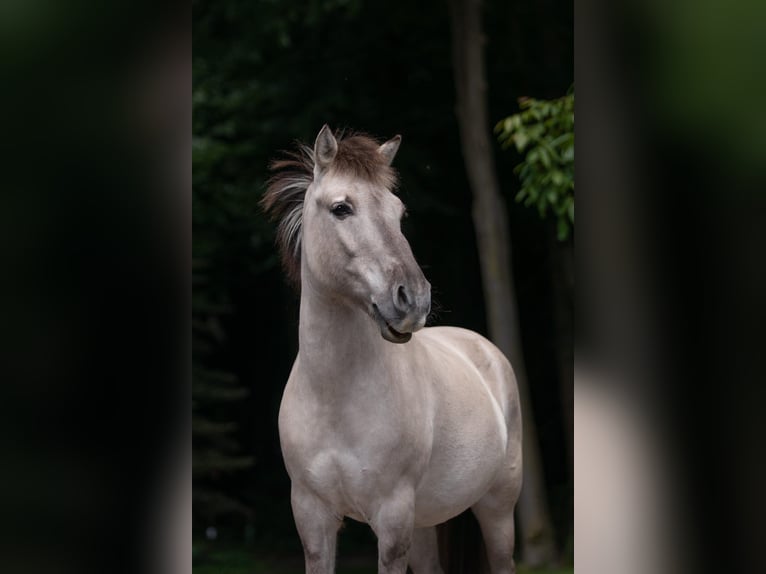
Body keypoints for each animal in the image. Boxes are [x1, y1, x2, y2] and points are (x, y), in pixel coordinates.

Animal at [262, 127, 520, 574]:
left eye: (399, 213)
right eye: (342, 208)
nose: (413, 300)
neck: (334, 397)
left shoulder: (393, 519)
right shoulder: (312, 518)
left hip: (497, 511)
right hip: (426, 524)